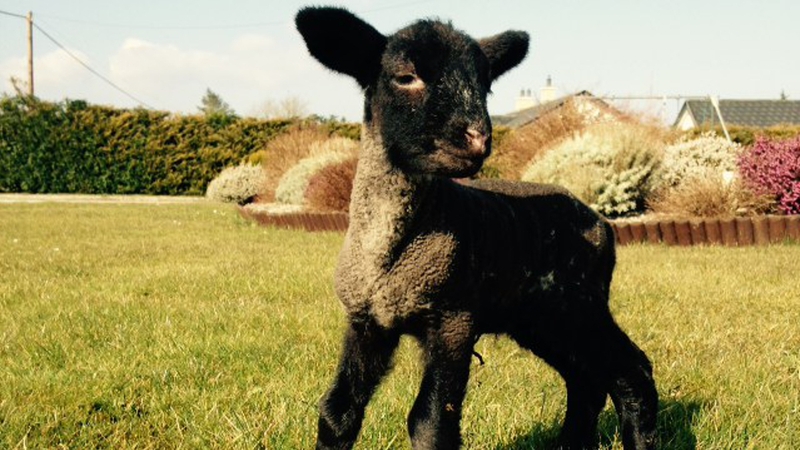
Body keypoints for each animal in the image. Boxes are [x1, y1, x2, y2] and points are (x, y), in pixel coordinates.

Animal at [295, 7, 658, 450]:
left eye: (484, 85)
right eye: (406, 76)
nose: (477, 139)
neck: (392, 252)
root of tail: (600, 221)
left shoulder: (453, 319)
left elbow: (431, 422)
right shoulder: (367, 321)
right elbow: (338, 412)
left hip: (580, 302)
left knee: (631, 372)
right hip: (541, 316)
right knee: (585, 379)